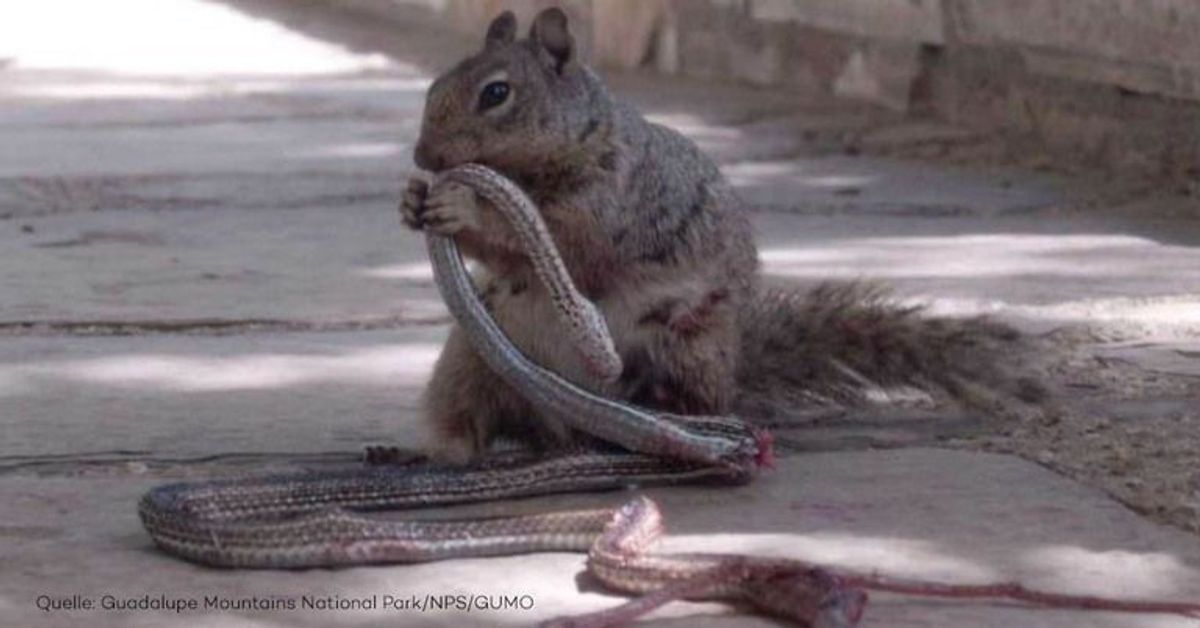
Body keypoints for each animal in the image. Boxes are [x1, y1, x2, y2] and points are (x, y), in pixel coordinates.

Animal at [403, 8, 1041, 461]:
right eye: (434, 85)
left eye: (496, 93)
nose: (423, 156)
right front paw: (414, 201)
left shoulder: (612, 204)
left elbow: (556, 244)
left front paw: (462, 205)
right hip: (473, 357)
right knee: (469, 417)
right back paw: (438, 452)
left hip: (681, 345)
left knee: (684, 405)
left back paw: (663, 423)